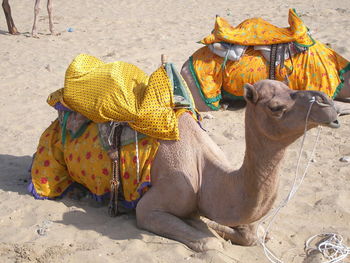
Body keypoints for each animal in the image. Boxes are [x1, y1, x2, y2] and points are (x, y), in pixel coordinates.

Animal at [135, 79, 340, 253]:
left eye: (289, 88)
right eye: (275, 107)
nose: (326, 102)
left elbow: (250, 234)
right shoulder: (154, 204)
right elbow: (211, 242)